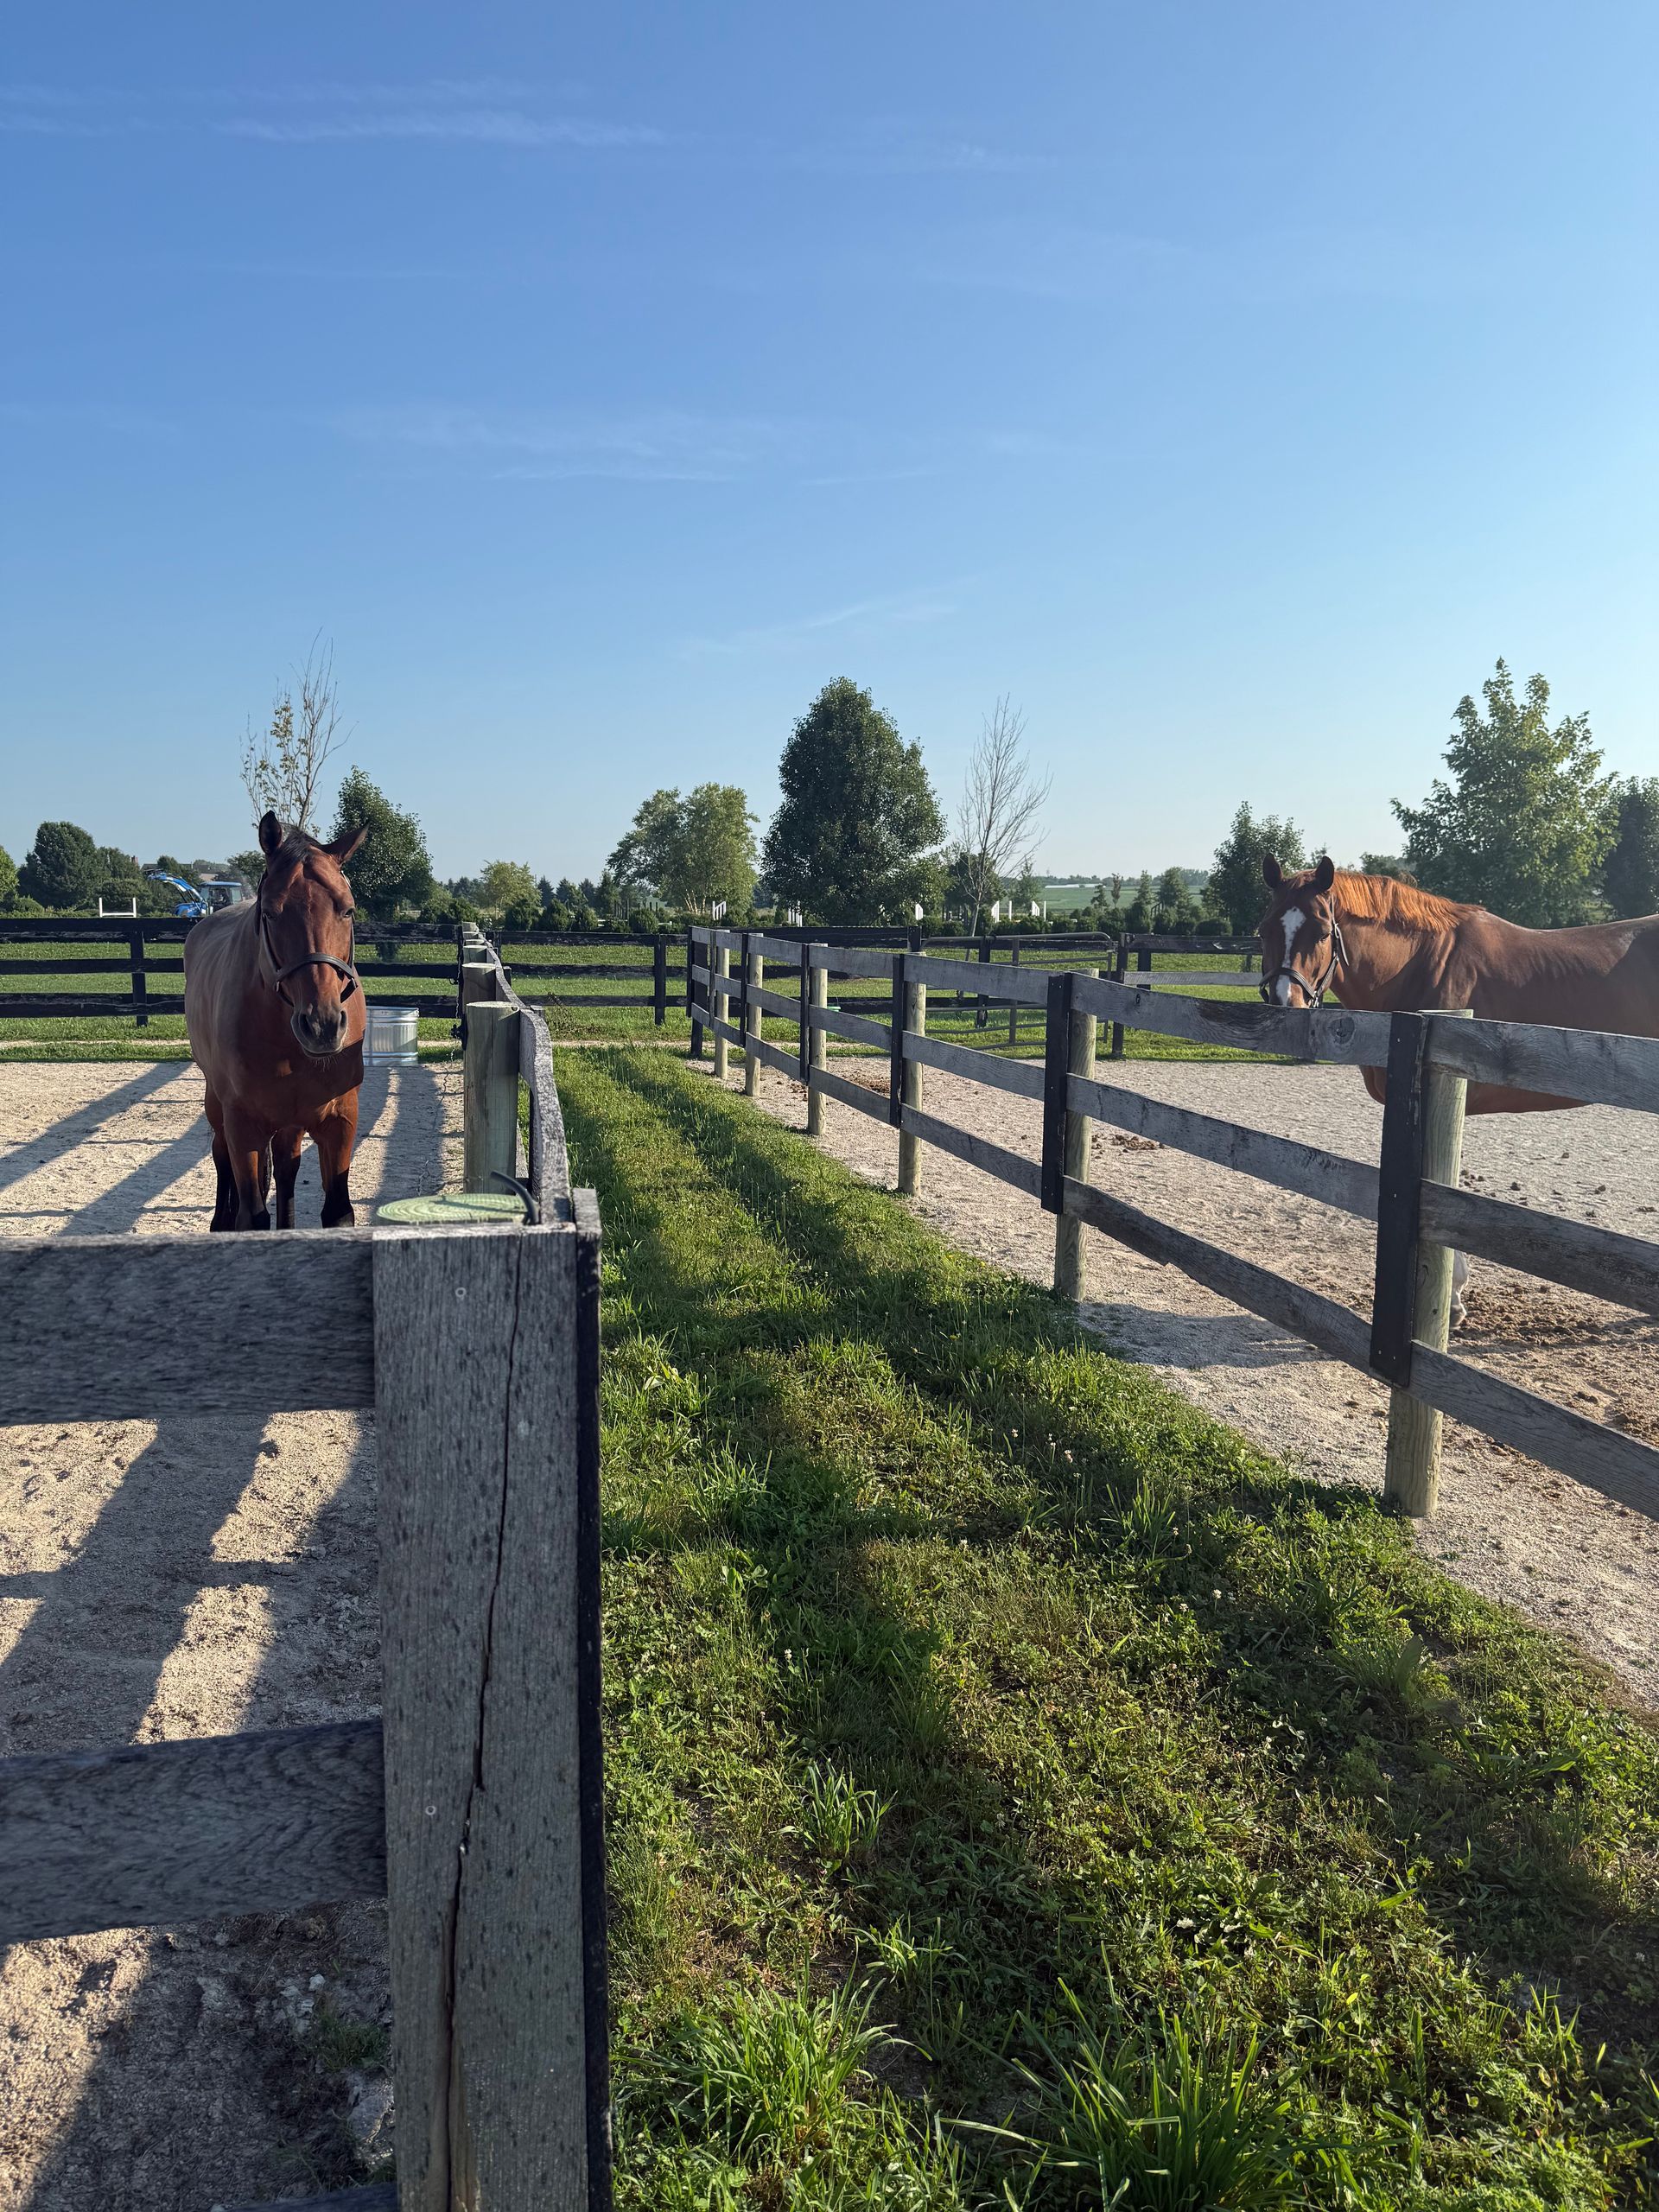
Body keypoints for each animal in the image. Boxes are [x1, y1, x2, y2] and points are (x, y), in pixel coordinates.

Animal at [184, 811, 369, 1231]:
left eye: (347, 910)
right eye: (270, 913)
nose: (322, 1026)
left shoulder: (339, 1122)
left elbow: (337, 1212)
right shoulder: (244, 1126)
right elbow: (252, 1215)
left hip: (290, 1123)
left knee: (286, 1169)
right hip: (217, 1105)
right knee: (220, 1154)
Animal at [1256, 854, 1659, 1320]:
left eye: (1322, 932)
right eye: (1264, 929)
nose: (1285, 1006)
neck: (1420, 967)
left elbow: (1444, 1185)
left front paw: (1450, 1297)